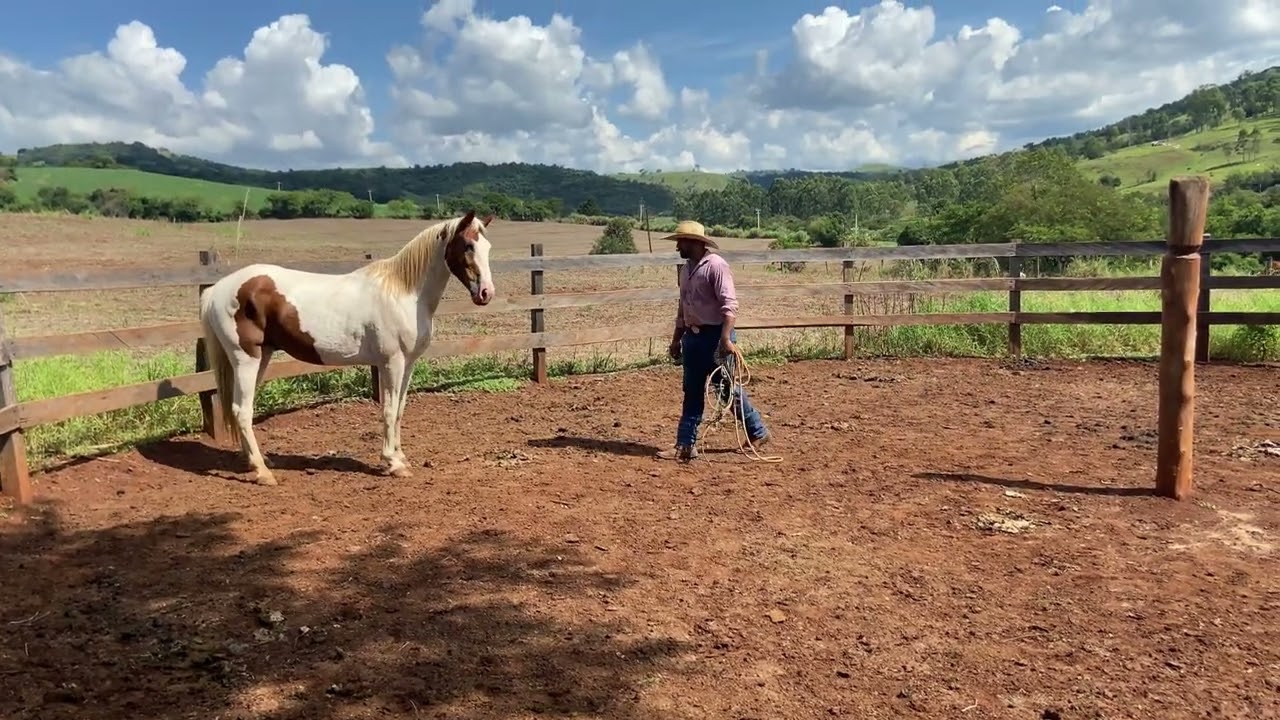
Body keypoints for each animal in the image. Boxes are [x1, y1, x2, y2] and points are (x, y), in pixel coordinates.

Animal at [197, 210, 497, 486]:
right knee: (242, 409)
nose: (486, 293)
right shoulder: (392, 362)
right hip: (246, 358)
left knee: (240, 408)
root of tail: (216, 290)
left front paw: (401, 457)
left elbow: (400, 409)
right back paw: (263, 472)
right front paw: (392, 463)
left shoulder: (409, 363)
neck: (403, 293)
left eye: (487, 247)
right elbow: (389, 409)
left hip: (262, 358)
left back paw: (256, 462)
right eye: (467, 245)